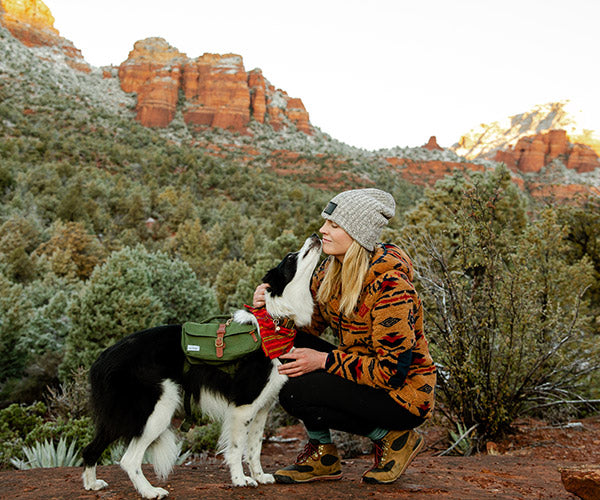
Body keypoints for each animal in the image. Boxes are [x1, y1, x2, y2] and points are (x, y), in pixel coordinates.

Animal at [83, 233, 324, 496]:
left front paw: (259, 476)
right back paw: (150, 491)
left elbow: (254, 449)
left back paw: (92, 484)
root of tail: (102, 358)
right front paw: (240, 480)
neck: (275, 322)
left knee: (91, 448)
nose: (315, 235)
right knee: (128, 459)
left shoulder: (262, 408)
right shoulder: (243, 407)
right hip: (156, 408)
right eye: (291, 257)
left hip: (124, 415)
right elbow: (237, 448)